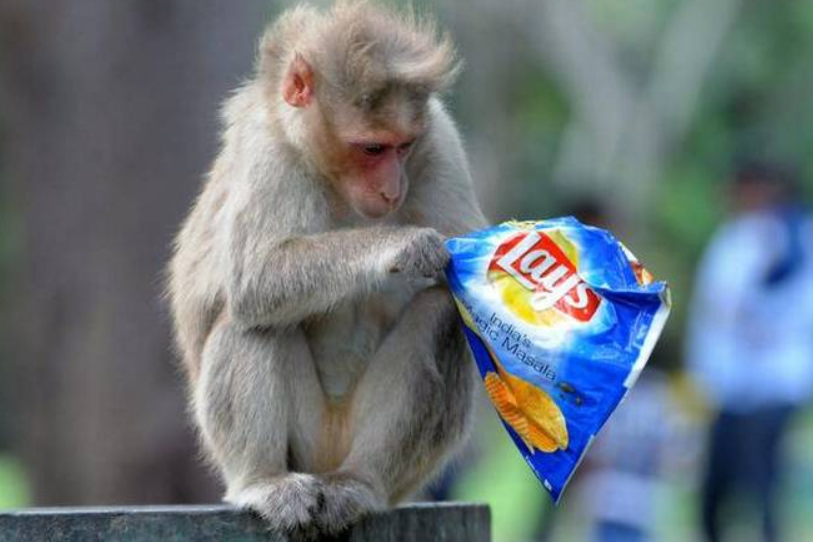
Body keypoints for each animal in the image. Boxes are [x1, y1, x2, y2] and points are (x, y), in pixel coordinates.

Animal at [167, 1, 486, 537]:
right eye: (372, 149)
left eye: (403, 146)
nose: (392, 188)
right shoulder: (269, 153)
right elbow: (256, 278)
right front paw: (406, 247)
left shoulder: (439, 139)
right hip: (307, 440)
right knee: (251, 318)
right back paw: (264, 481)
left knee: (442, 316)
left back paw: (359, 483)